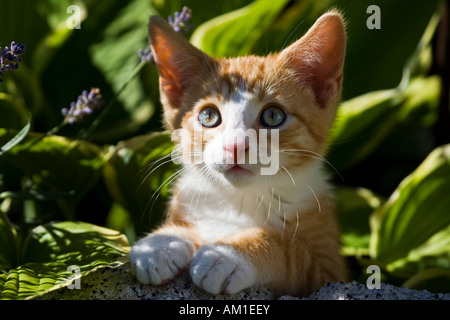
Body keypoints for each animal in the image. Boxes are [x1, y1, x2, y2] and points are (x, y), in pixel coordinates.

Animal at [130, 10, 348, 298]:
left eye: (273, 116)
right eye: (208, 116)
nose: (234, 146)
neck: (238, 201)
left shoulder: (329, 271)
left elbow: (291, 252)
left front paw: (228, 254)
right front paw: (162, 242)